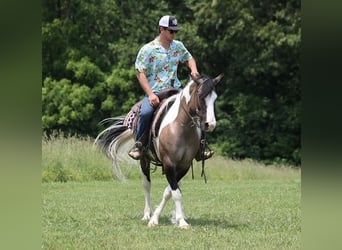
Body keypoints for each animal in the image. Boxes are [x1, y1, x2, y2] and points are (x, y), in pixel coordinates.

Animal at [95, 73, 224, 229]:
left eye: (215, 97)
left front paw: (175, 218)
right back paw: (146, 214)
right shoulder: (169, 163)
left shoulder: (184, 165)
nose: (210, 124)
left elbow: (170, 191)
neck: (180, 128)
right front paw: (164, 220)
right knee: (146, 185)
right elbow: (175, 193)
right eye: (200, 94)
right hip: (144, 160)